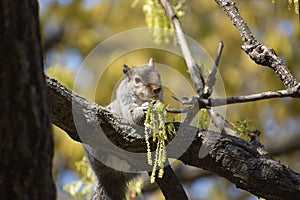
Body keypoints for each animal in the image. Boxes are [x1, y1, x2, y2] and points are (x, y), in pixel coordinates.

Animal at [85, 58, 163, 200]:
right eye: (137, 80)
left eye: (159, 76)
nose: (157, 88)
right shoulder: (126, 105)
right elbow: (133, 116)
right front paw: (144, 109)